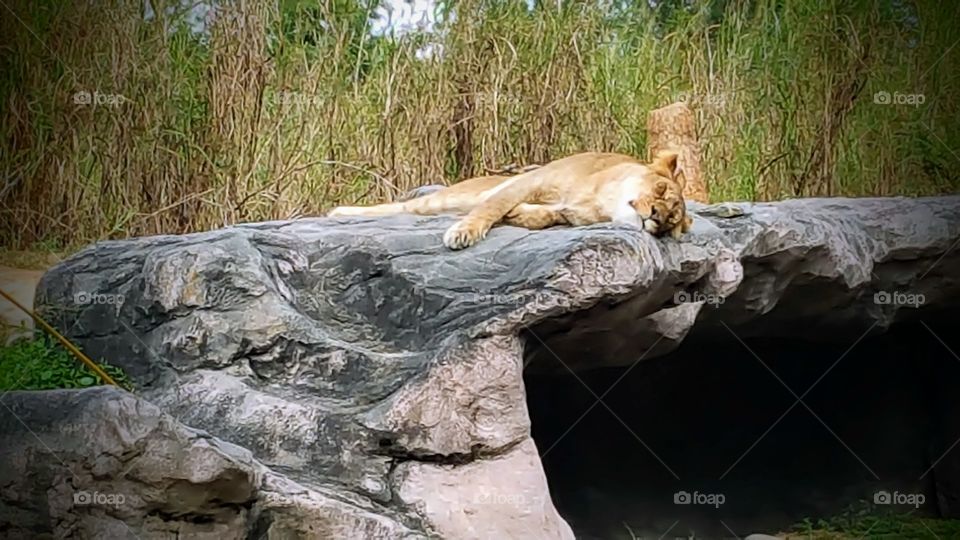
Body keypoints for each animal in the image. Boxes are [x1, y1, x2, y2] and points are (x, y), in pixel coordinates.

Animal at [328, 150, 691, 250]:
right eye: (661, 190)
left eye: (670, 221)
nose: (654, 216)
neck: (601, 200)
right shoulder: (530, 180)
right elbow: (493, 206)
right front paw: (464, 233)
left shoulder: (566, 212)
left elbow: (546, 215)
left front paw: (520, 216)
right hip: (448, 198)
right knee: (404, 206)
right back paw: (339, 212)